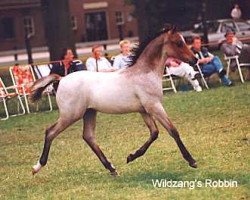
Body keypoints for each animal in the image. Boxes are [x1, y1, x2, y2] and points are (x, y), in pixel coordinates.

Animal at [31, 27, 198, 176]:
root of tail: (61, 79)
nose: (195, 59)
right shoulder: (154, 106)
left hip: (89, 112)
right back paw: (37, 166)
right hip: (71, 115)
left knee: (88, 136)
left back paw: (111, 168)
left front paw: (131, 157)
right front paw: (191, 160)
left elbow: (154, 133)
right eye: (178, 43)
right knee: (50, 132)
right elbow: (173, 131)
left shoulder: (144, 110)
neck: (144, 73)